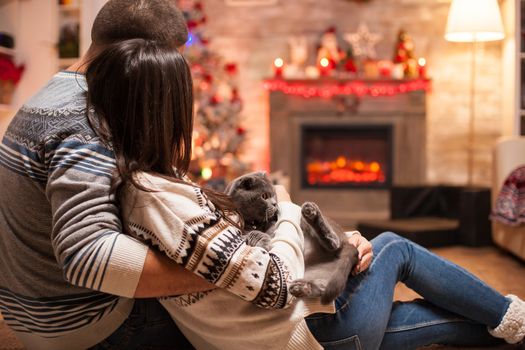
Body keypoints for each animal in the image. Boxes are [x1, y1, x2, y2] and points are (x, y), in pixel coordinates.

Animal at [225, 172, 360, 304]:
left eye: (274, 195)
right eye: (264, 196)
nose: (275, 203)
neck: (253, 222)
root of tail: (346, 242)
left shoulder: (273, 224)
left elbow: (267, 232)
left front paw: (262, 240)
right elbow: (247, 234)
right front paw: (257, 239)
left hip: (303, 220)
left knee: (333, 242)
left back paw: (312, 214)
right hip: (318, 271)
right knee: (322, 286)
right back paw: (301, 287)